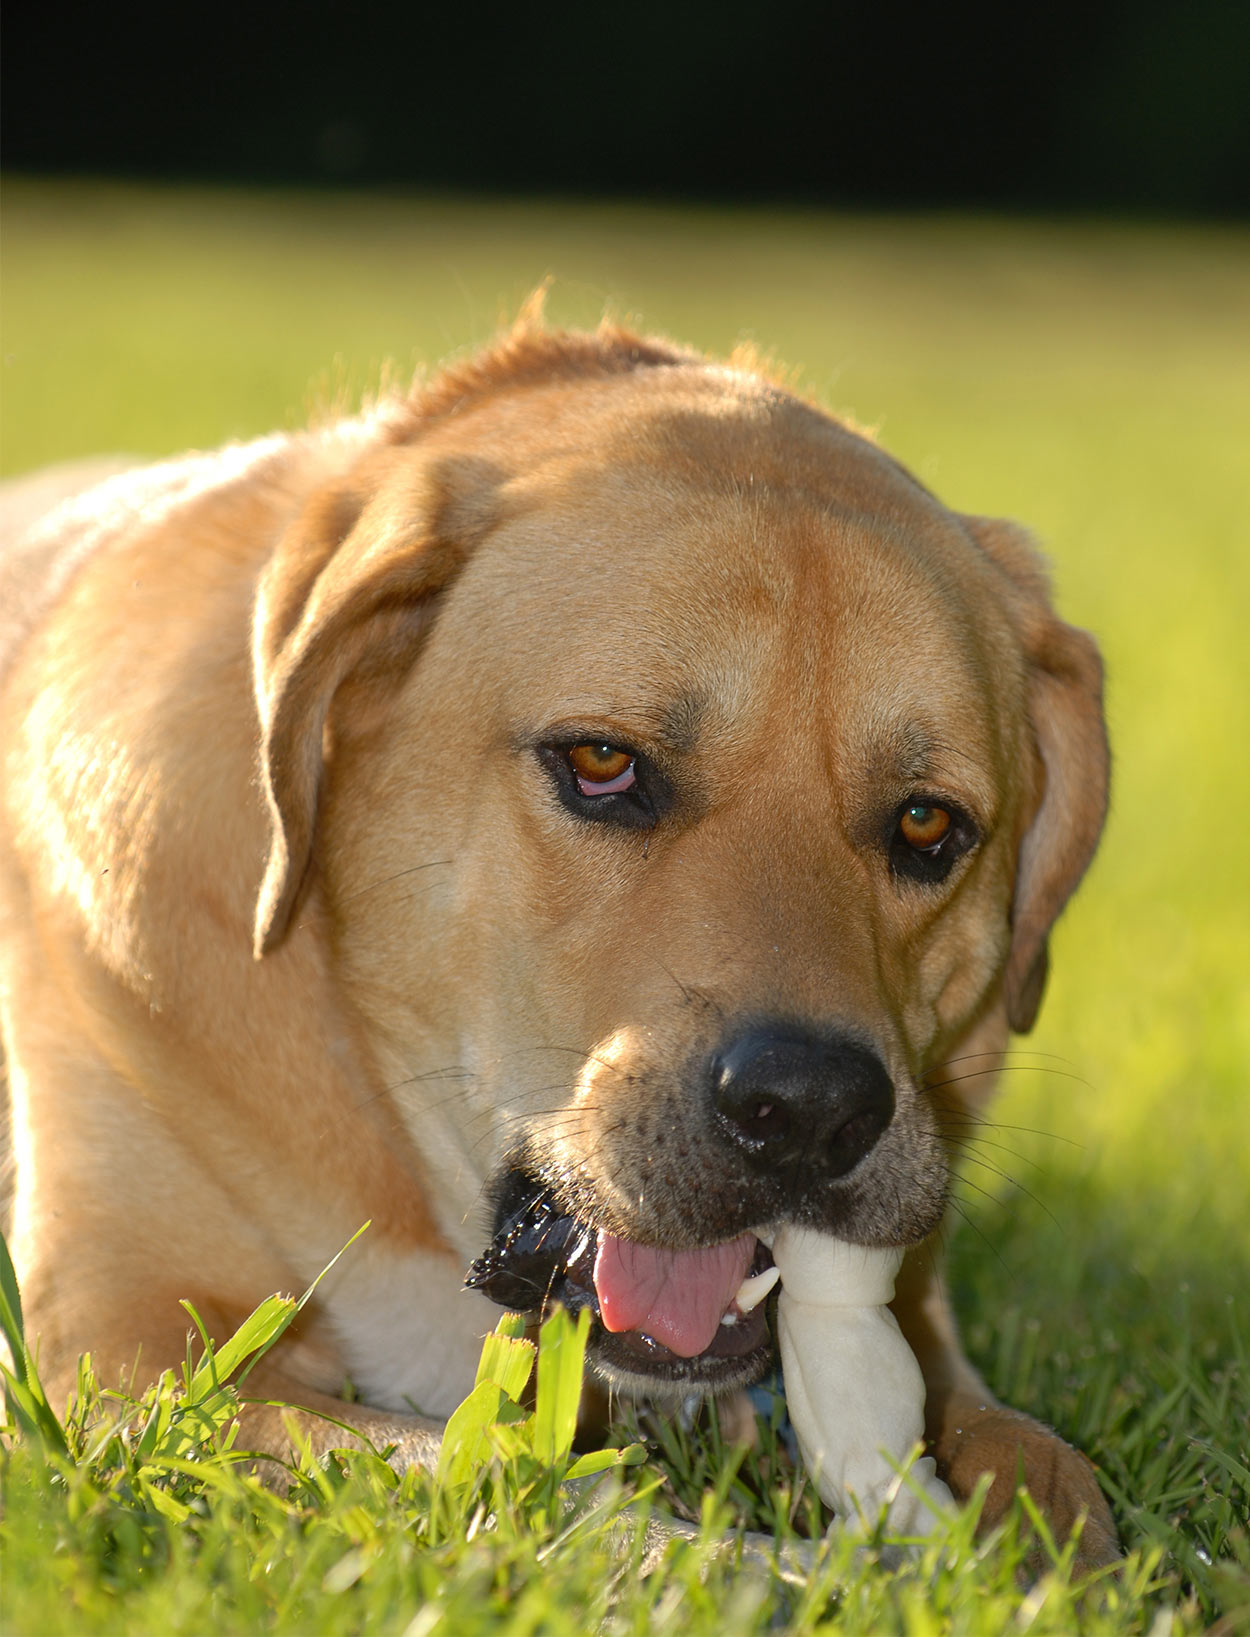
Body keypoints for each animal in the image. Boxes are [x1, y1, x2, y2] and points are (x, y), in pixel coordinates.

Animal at [0, 309, 1119, 1571]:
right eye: (600, 762)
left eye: (928, 824)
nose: (810, 1108)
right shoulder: (131, 1354)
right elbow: (511, 1480)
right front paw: (758, 1570)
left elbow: (1036, 1457)